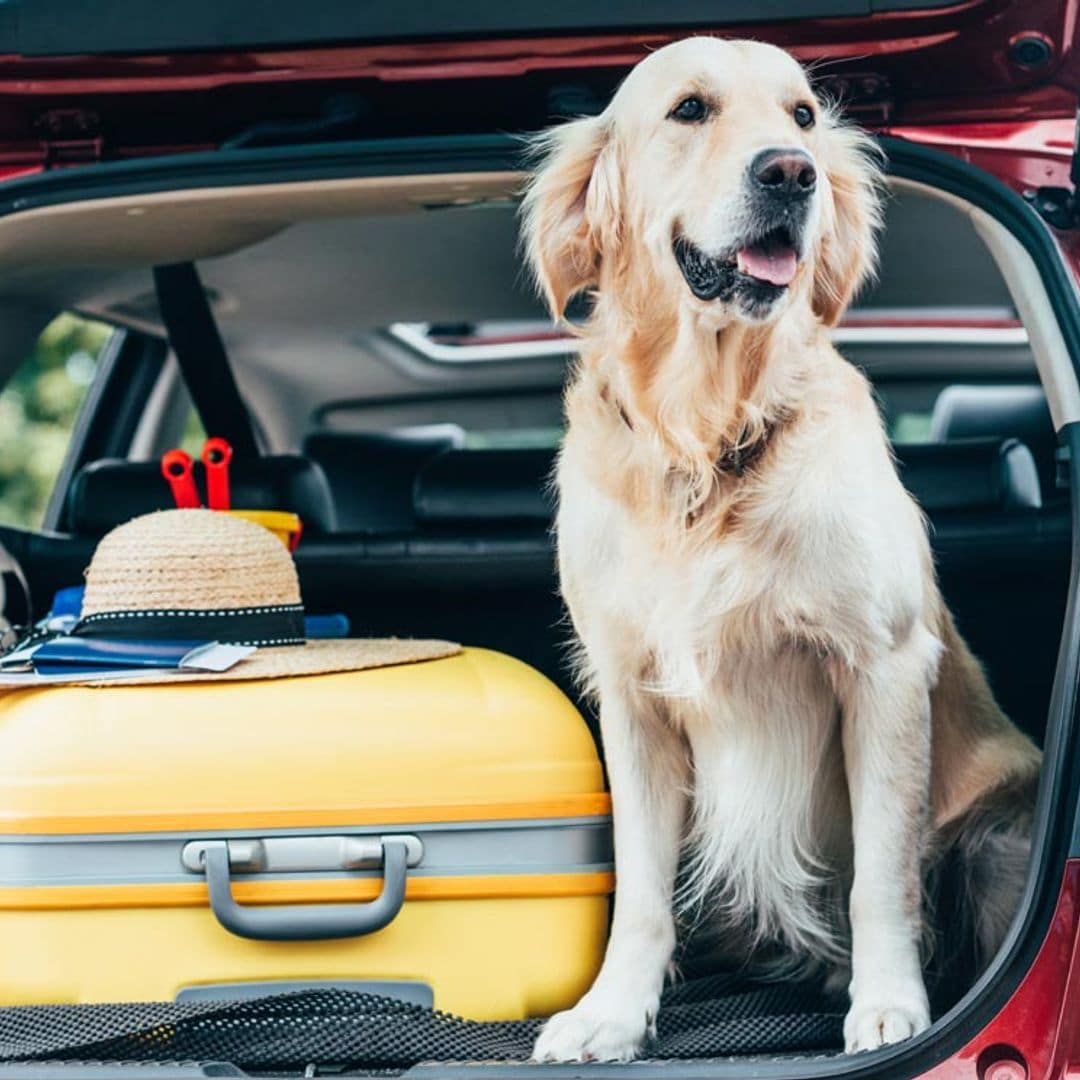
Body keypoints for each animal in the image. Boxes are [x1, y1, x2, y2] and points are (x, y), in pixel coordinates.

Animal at [522, 35, 1045, 1062]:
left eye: (802, 115)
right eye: (690, 109)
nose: (792, 173)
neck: (708, 438)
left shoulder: (881, 667)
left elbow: (882, 873)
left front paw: (889, 1005)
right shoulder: (632, 695)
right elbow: (640, 891)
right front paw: (611, 1013)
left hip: (999, 830)